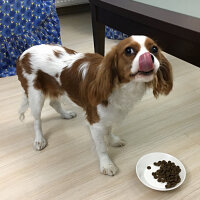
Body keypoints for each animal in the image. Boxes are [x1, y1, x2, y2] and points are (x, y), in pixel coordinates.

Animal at [16, 35, 173, 175]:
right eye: (129, 51)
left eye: (154, 49)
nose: (149, 57)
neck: (121, 87)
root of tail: (24, 53)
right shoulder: (95, 122)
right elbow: (101, 147)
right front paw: (106, 164)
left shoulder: (108, 114)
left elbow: (108, 130)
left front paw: (113, 140)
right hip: (35, 95)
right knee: (37, 120)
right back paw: (39, 140)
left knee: (54, 102)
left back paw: (66, 114)